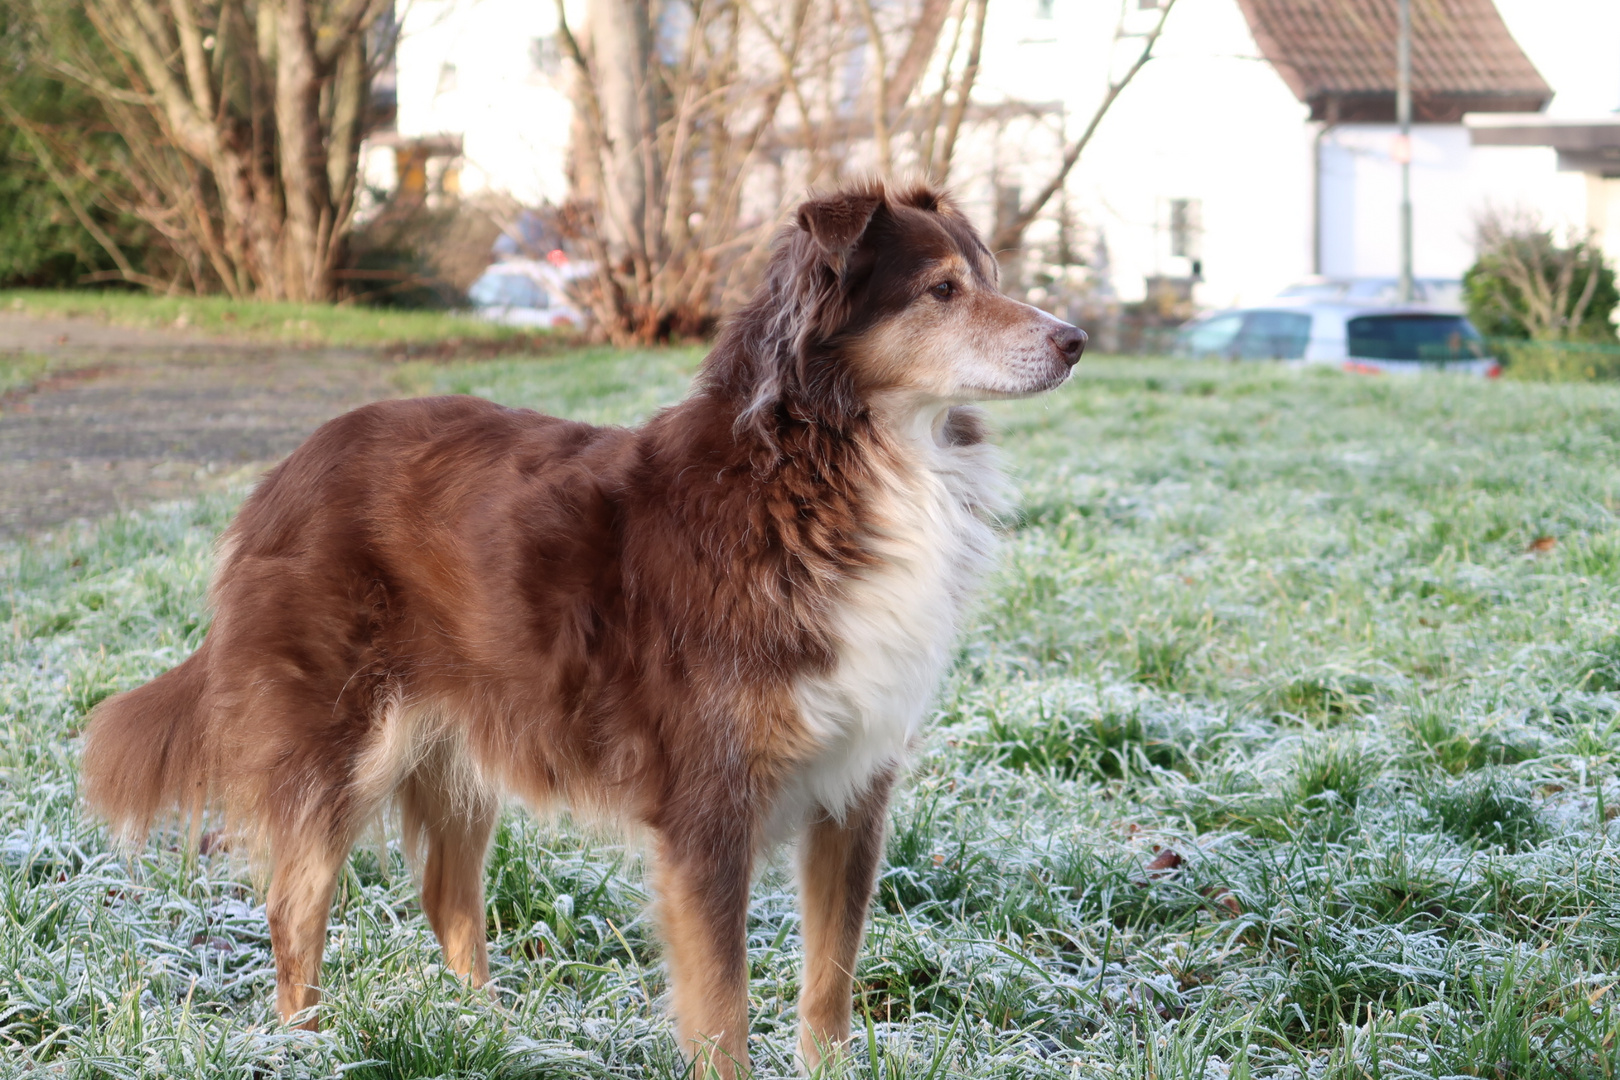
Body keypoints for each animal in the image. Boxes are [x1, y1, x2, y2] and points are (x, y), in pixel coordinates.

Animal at [78, 181, 1088, 1075]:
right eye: (943, 291)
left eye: (988, 278)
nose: (1076, 340)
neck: (829, 467)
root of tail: (284, 471)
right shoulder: (706, 807)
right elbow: (722, 1008)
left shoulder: (855, 790)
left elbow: (829, 988)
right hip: (337, 743)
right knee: (296, 912)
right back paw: (309, 1051)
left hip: (461, 746)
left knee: (449, 898)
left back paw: (487, 1037)